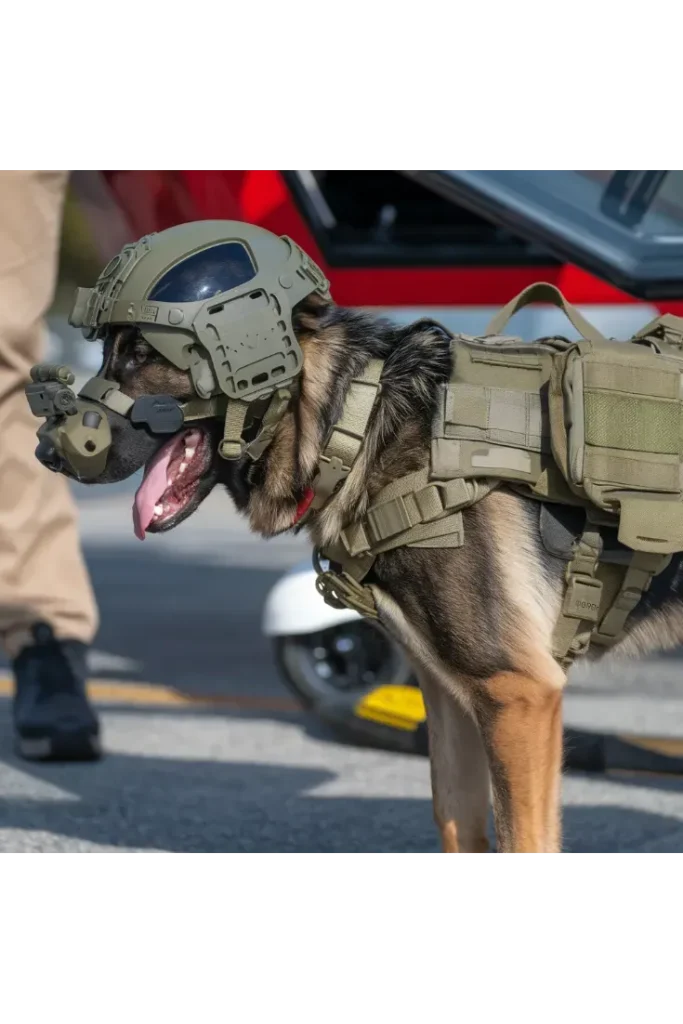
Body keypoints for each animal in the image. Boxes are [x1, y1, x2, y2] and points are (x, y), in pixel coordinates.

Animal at [26, 222, 683, 856]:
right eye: (108, 354)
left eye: (141, 354)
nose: (46, 452)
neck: (358, 424)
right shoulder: (452, 697)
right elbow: (456, 821)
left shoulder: (516, 693)